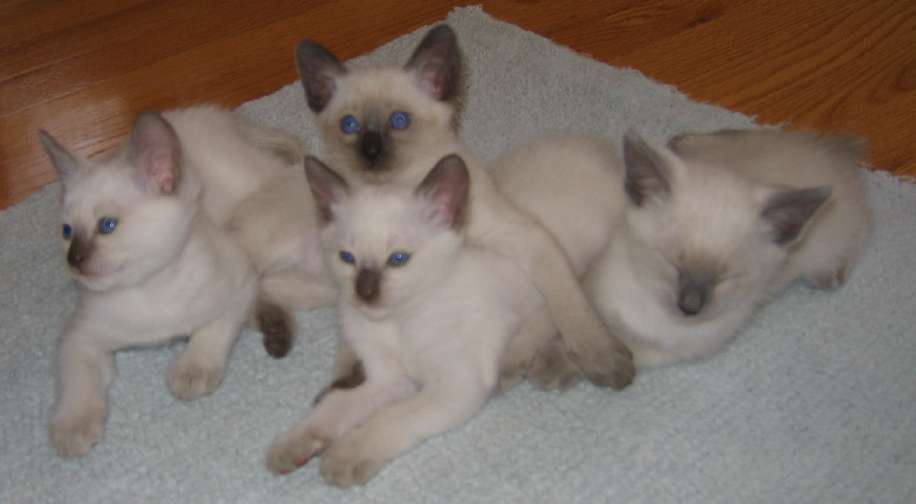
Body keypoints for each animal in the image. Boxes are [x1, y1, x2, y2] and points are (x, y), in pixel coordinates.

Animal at [264, 155, 552, 488]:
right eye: (347, 258)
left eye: (398, 259)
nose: (365, 293)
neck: (397, 323)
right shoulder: (389, 380)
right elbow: (333, 409)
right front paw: (293, 446)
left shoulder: (454, 386)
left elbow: (390, 418)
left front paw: (344, 457)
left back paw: (520, 363)